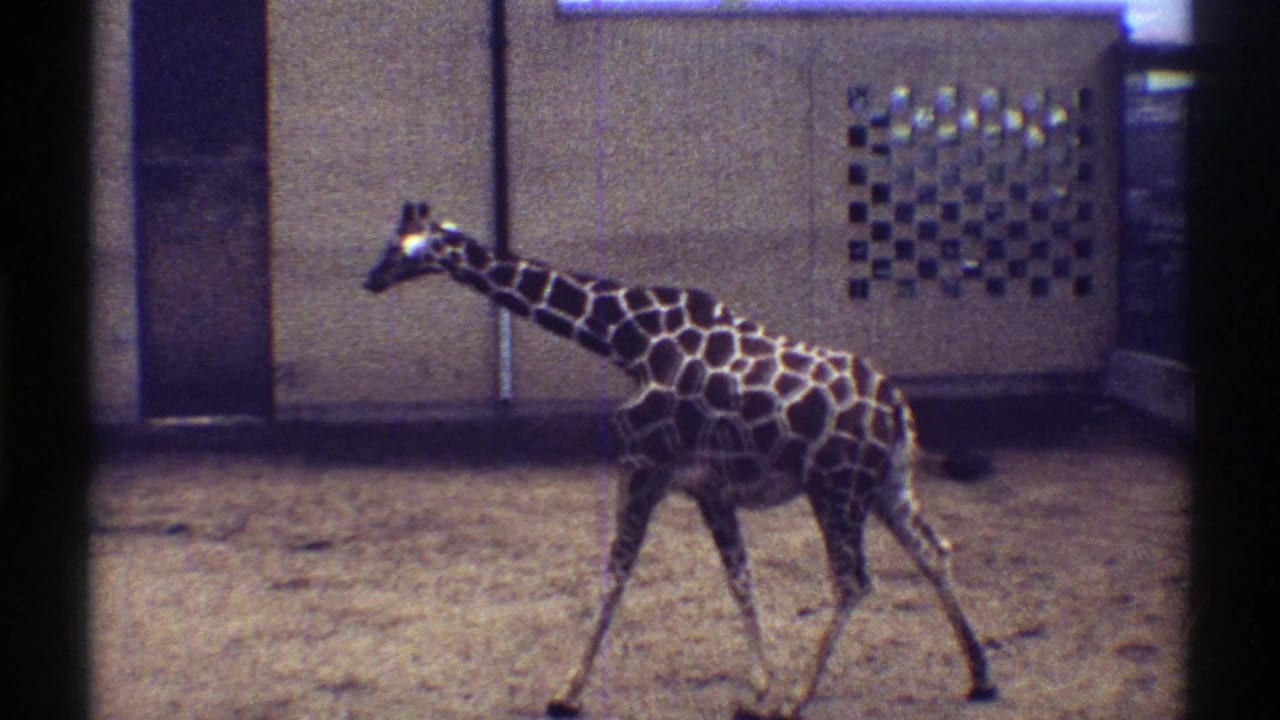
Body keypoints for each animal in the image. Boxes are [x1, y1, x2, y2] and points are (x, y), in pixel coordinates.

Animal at [363, 202, 998, 719]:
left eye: (403, 249)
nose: (370, 279)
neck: (628, 340)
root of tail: (896, 408)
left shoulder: (646, 465)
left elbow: (616, 573)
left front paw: (568, 691)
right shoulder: (707, 486)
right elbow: (738, 578)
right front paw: (759, 683)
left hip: (835, 488)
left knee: (854, 580)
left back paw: (800, 700)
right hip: (887, 484)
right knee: (934, 551)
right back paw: (980, 677)